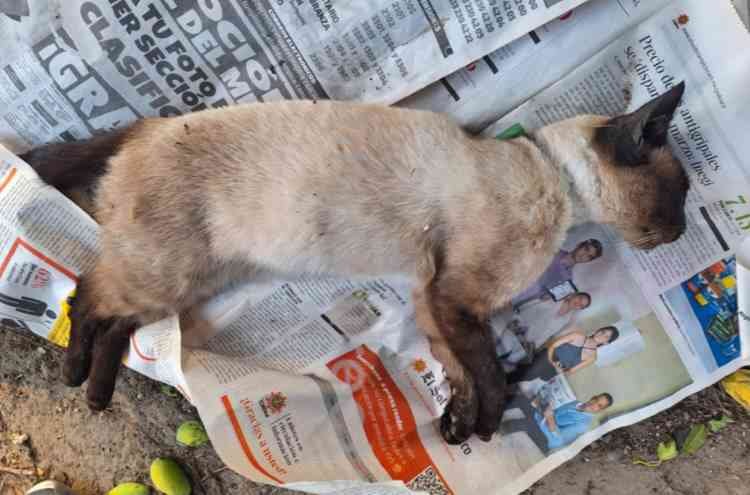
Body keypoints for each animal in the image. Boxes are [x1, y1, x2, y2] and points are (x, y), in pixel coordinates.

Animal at [20, 82, 688, 445]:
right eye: (678, 195)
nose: (682, 230)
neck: (555, 181)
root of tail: (145, 126)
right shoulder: (456, 298)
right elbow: (491, 375)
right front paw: (484, 427)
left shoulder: (432, 302)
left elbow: (463, 372)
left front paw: (456, 427)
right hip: (166, 271)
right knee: (87, 292)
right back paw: (75, 374)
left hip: (186, 281)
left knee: (119, 322)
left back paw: (98, 393)